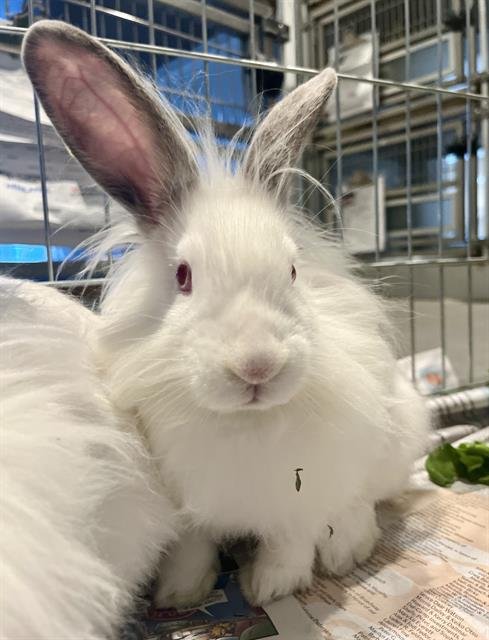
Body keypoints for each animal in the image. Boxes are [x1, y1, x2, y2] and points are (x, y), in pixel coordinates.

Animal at [22, 20, 430, 609]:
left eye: (292, 270)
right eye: (183, 276)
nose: (257, 365)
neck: (244, 422)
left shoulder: (301, 493)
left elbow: (292, 537)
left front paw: (271, 588)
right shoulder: (188, 506)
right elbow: (193, 546)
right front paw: (180, 594)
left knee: (358, 504)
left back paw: (347, 550)